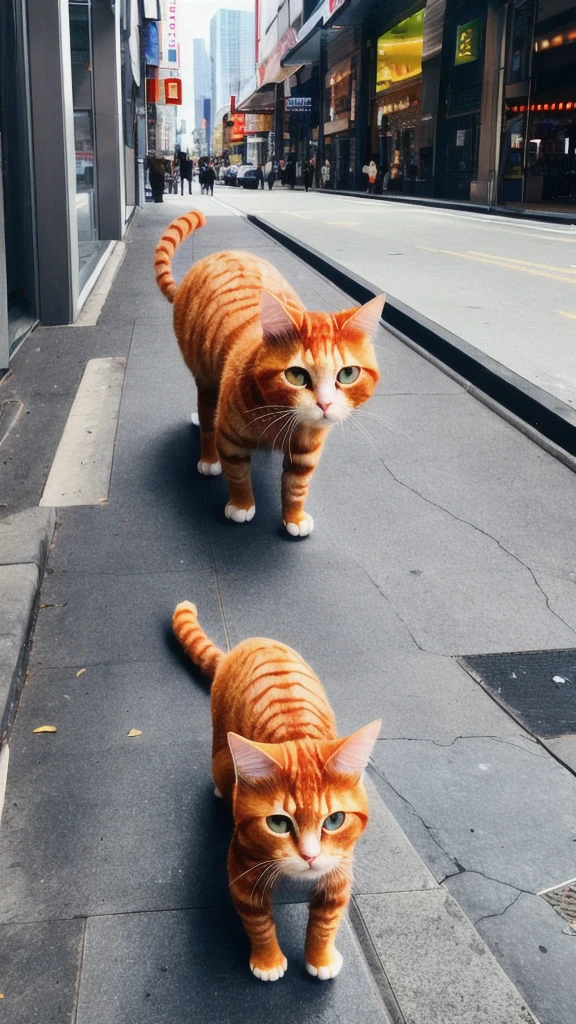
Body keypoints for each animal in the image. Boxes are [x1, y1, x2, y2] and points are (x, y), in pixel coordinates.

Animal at [154, 212, 383, 540]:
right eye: (297, 376)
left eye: (348, 374)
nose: (325, 404)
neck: (282, 419)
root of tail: (223, 253)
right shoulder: (231, 440)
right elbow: (238, 475)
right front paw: (241, 505)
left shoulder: (306, 454)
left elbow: (296, 488)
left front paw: (294, 518)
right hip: (206, 379)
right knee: (208, 417)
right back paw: (208, 455)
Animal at [174, 598, 381, 983]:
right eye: (279, 823)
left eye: (335, 820)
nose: (310, 857)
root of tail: (244, 645)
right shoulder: (242, 871)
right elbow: (259, 924)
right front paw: (268, 962)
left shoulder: (340, 868)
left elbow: (326, 921)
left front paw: (321, 958)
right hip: (220, 756)